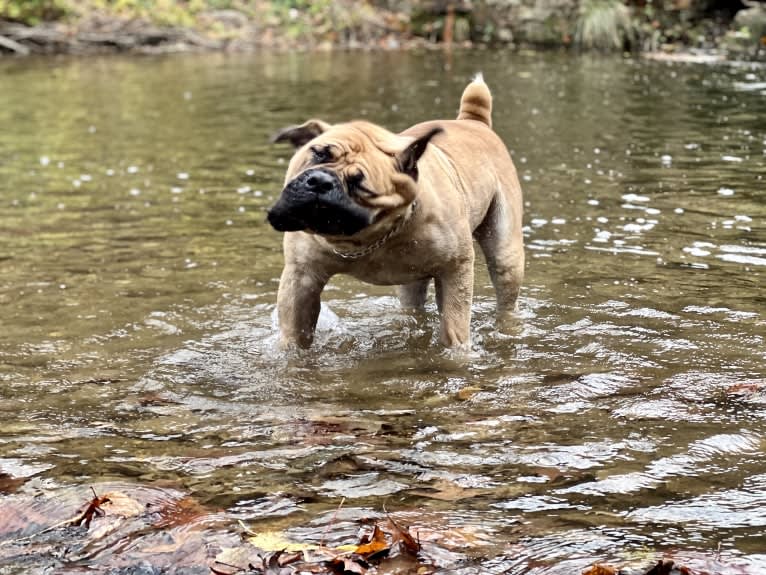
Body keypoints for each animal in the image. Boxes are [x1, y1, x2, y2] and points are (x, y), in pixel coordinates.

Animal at [268, 74, 524, 348]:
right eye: (317, 153)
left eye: (361, 185)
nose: (320, 182)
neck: (367, 239)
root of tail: (472, 121)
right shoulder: (300, 279)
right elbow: (295, 334)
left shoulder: (456, 269)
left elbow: (454, 326)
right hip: (411, 279)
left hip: (505, 257)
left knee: (506, 299)